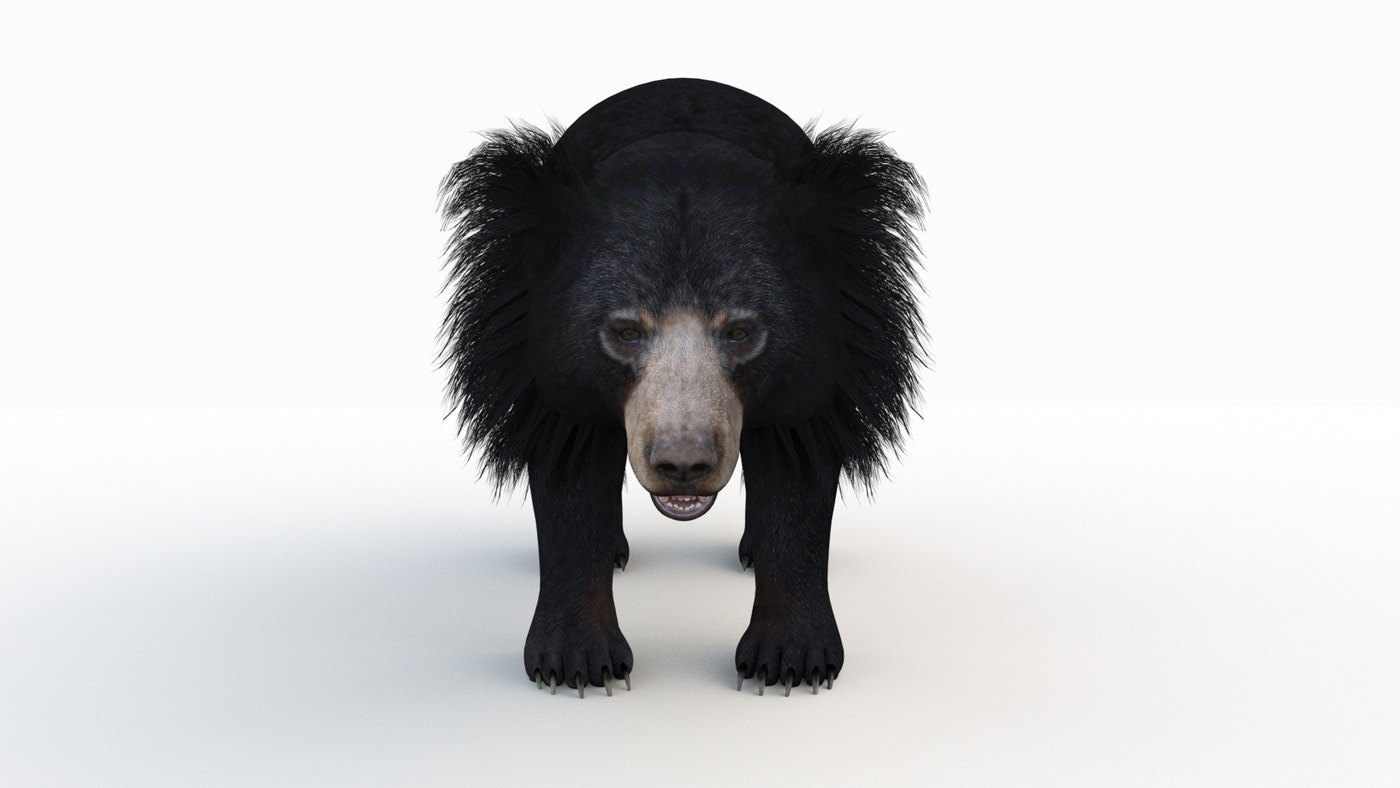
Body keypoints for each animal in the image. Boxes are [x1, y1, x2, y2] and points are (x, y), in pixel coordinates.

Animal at [439, 78, 925, 697]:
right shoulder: (543, 374)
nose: (683, 465)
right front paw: (578, 667)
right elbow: (569, 481)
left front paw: (789, 664)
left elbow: (797, 481)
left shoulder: (822, 372)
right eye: (624, 331)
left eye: (741, 331)